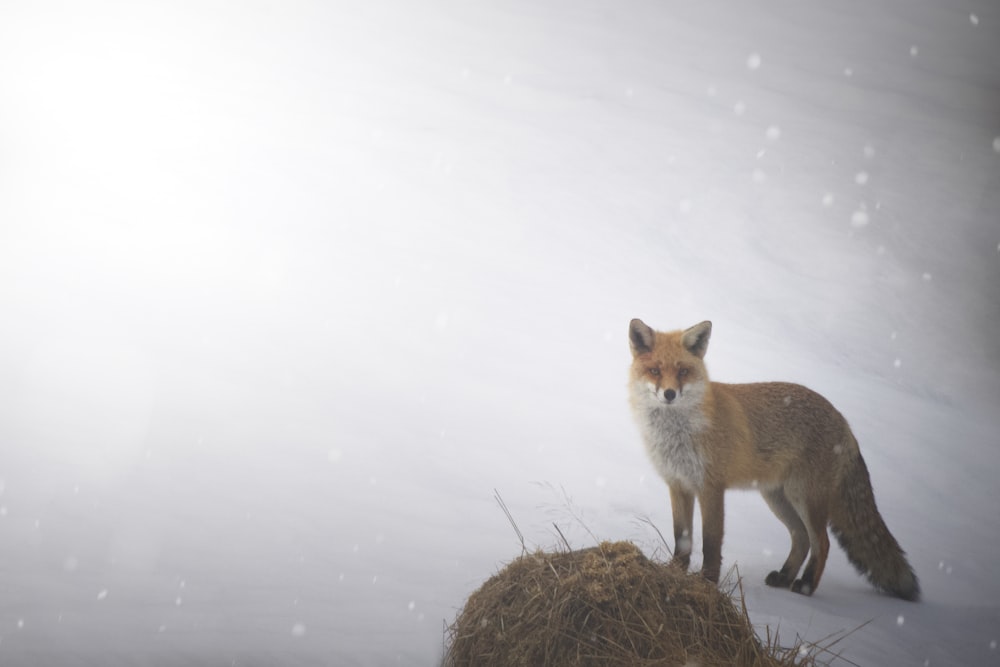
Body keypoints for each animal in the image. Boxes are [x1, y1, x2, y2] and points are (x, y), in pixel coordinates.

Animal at [628, 318, 916, 600]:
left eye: (682, 372)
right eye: (655, 370)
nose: (669, 394)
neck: (678, 434)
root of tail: (845, 422)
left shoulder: (711, 487)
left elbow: (711, 541)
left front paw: (707, 582)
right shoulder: (678, 485)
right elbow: (682, 537)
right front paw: (674, 572)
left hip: (805, 497)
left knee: (822, 542)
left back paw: (805, 585)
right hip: (778, 498)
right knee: (801, 538)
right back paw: (784, 576)